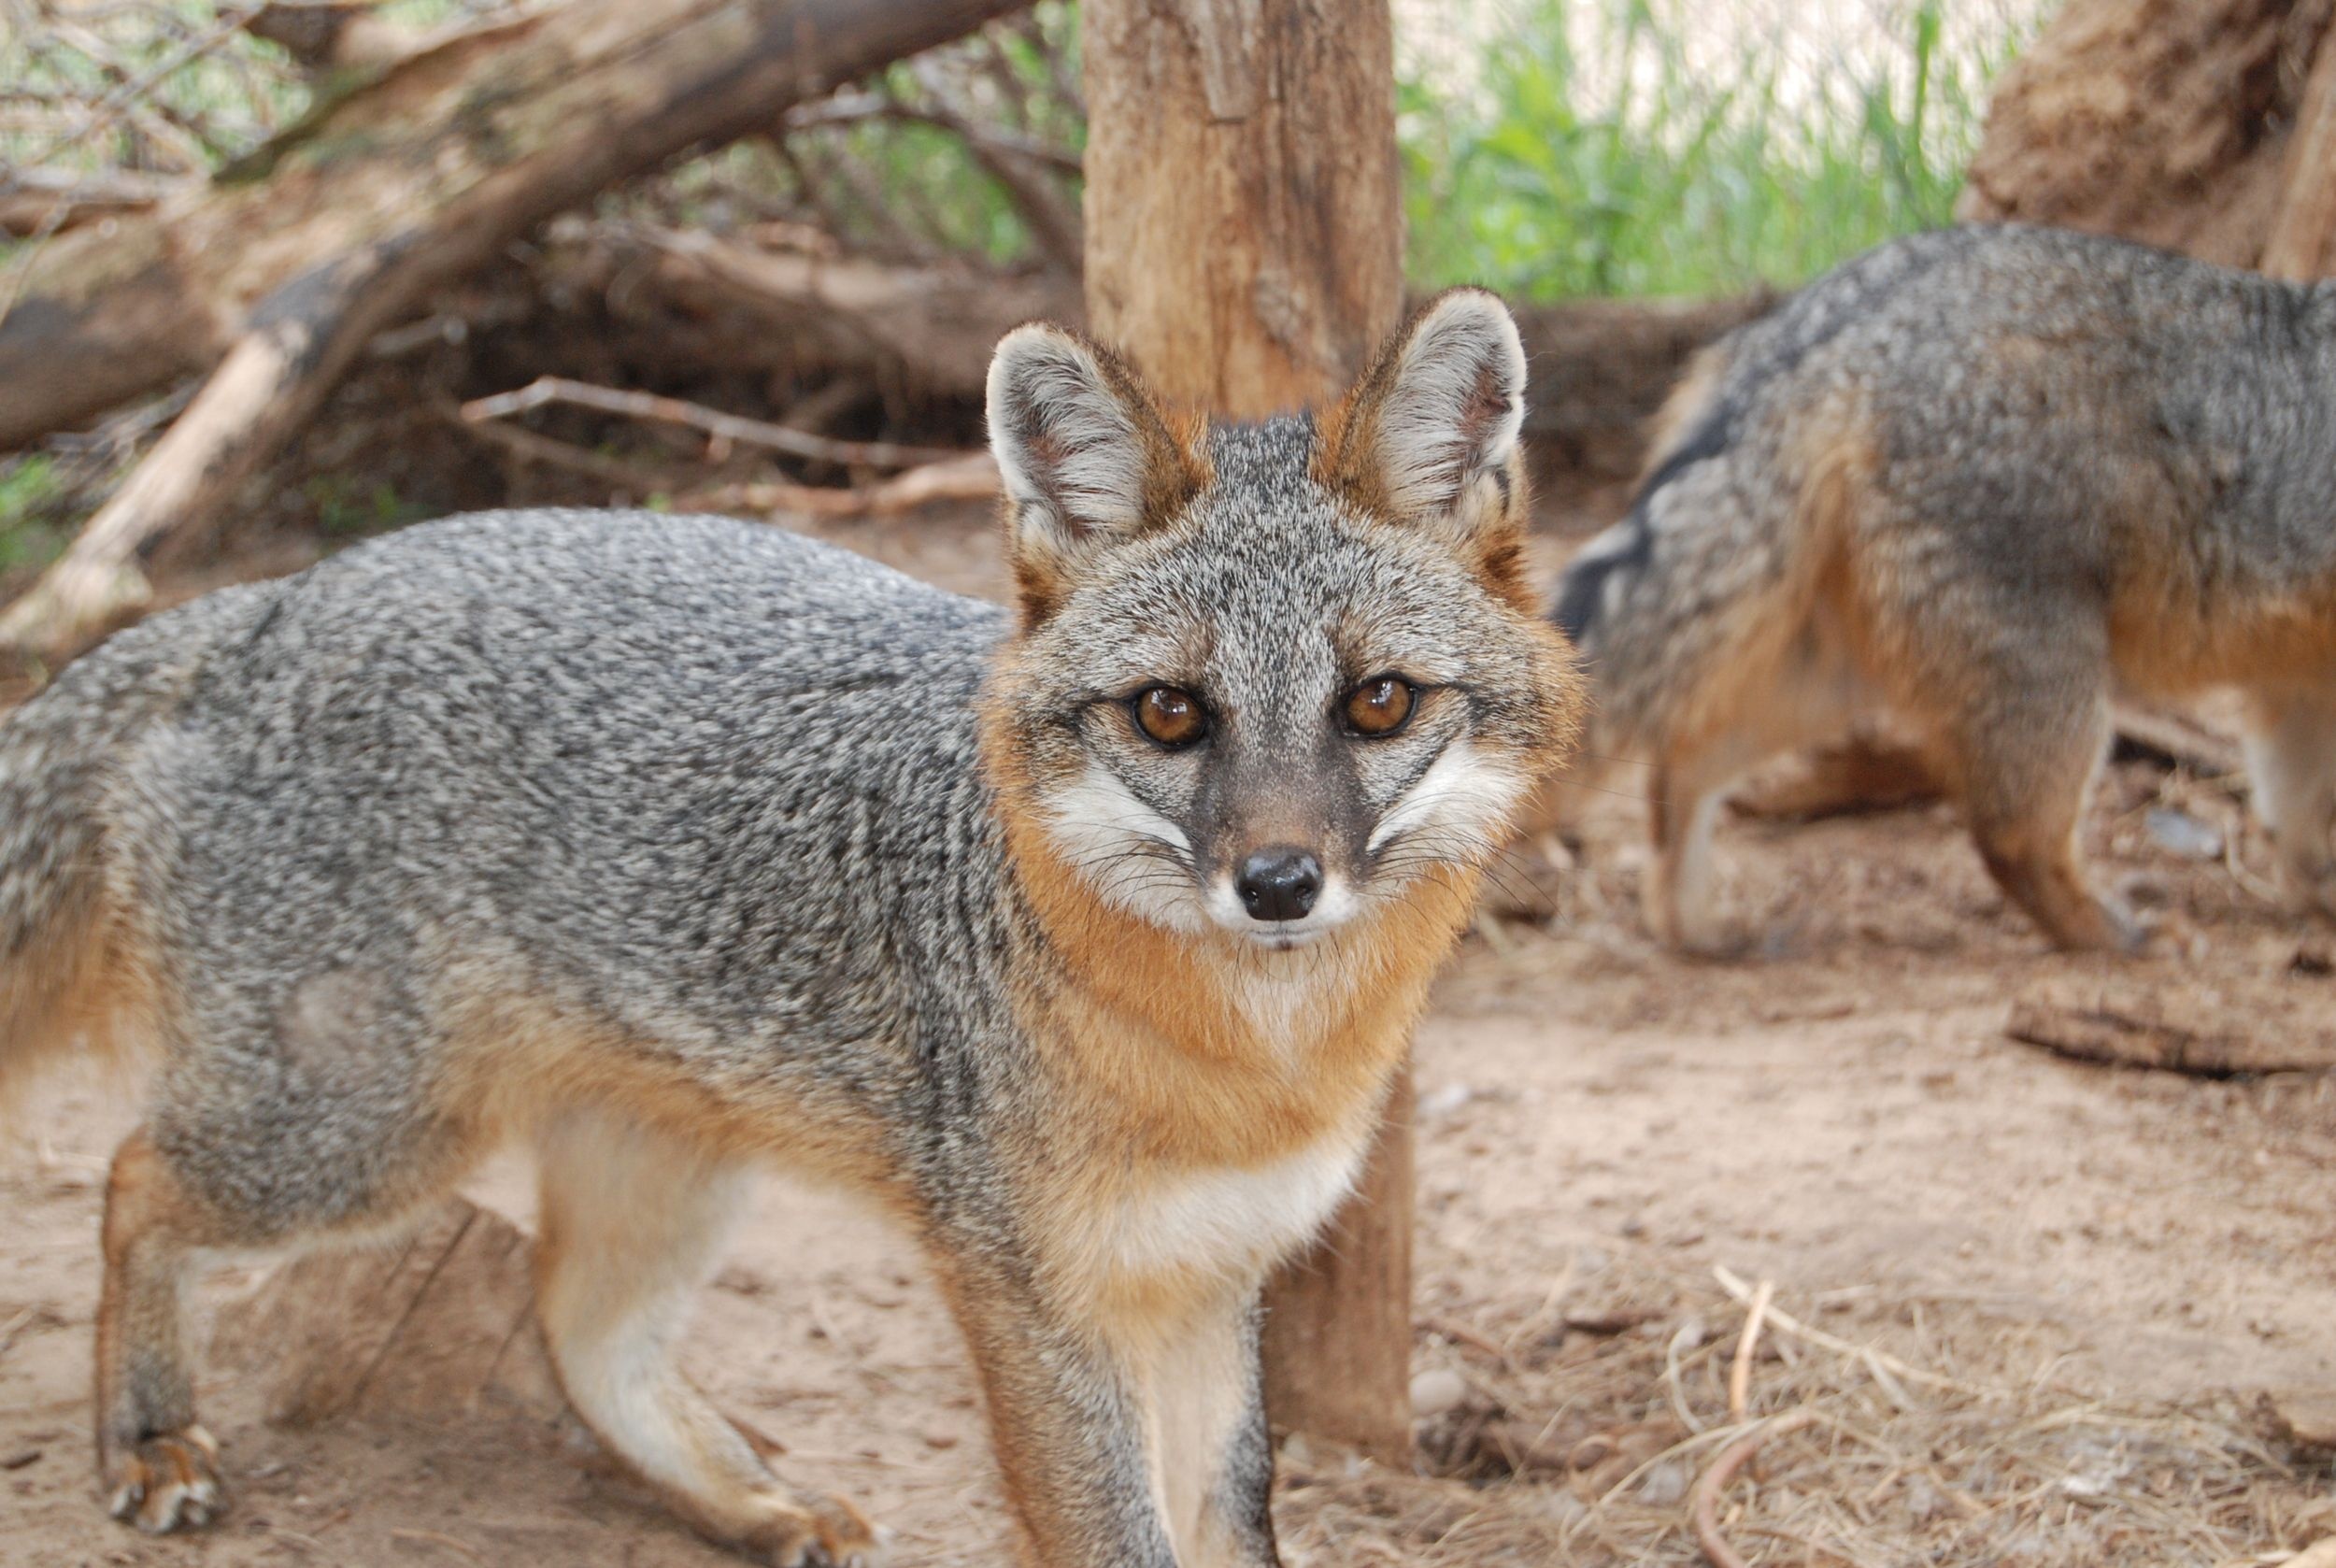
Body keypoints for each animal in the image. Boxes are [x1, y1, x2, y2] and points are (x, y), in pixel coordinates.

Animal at [0, 297, 1588, 1568]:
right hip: (357, 1137)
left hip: (654, 1165)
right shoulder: (1037, 1298)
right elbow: (1117, 1532)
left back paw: (750, 1503)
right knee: (134, 1178)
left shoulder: (1213, 1278)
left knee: (577, 1329)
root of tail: (257, 609)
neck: (1252, 1067)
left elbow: (1236, 1518)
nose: (1277, 882)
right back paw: (145, 1433)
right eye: (1169, 714)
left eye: (1376, 701)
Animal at [1551, 221, 2336, 958]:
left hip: (1834, 674)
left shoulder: (2299, 687)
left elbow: (2297, 819)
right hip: (2045, 674)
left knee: (1681, 761)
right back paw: (2114, 934)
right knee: (2013, 841)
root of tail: (1841, 323)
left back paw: (1696, 928)